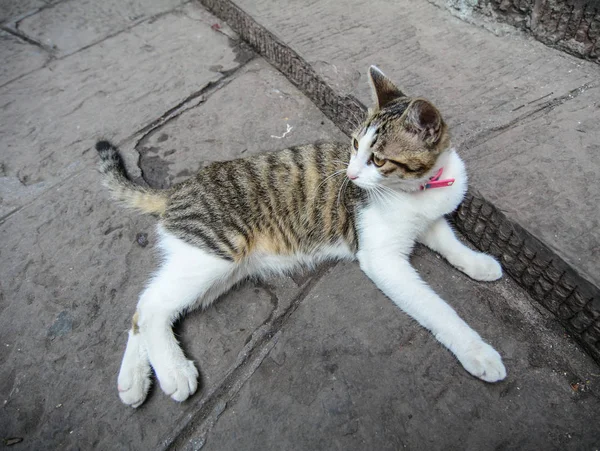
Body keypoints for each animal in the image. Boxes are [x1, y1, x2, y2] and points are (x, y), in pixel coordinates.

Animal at [99, 67, 506, 410]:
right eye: (354, 145)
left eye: (377, 159)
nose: (351, 175)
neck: (419, 190)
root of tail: (179, 189)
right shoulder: (381, 259)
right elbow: (436, 307)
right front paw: (477, 351)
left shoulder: (429, 219)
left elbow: (448, 240)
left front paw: (479, 263)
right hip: (215, 253)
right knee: (152, 308)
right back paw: (173, 372)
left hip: (215, 270)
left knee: (146, 303)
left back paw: (133, 381)